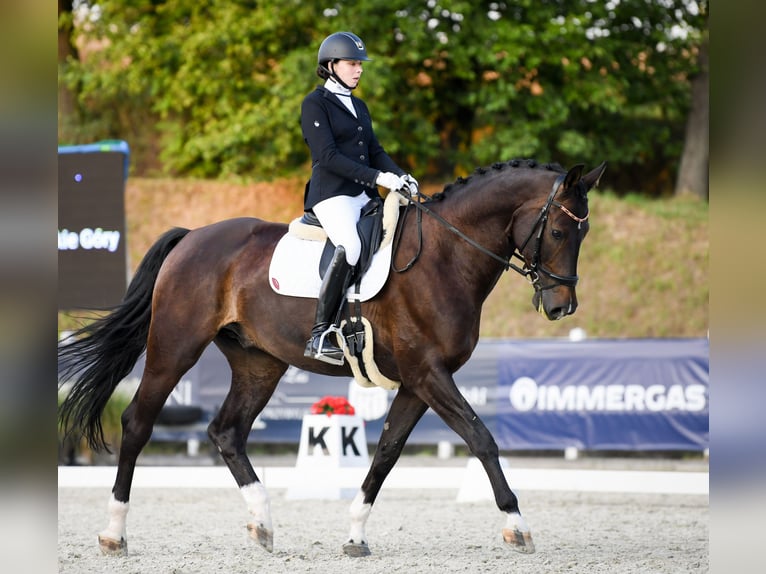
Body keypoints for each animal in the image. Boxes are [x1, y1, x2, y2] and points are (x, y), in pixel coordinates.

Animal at [58, 158, 608, 560]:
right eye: (559, 233)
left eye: (583, 235)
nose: (562, 307)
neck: (445, 256)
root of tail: (192, 236)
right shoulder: (429, 374)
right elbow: (482, 439)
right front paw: (517, 526)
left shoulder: (418, 381)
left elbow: (386, 453)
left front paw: (356, 534)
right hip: (174, 348)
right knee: (137, 423)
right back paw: (114, 533)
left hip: (259, 362)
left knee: (226, 431)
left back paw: (262, 524)